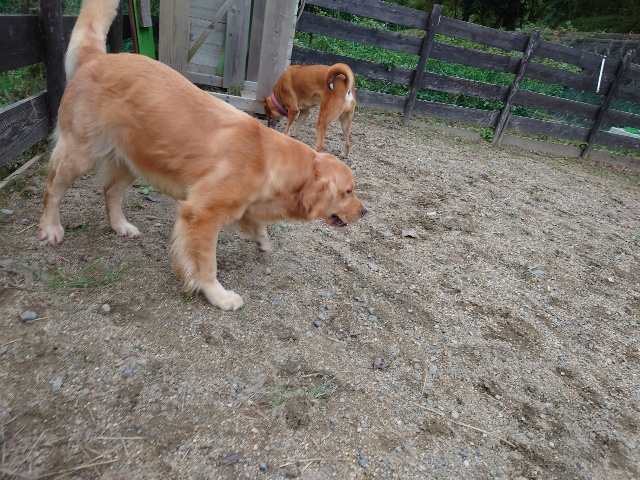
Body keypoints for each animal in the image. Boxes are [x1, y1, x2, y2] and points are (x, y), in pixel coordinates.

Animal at [38, 0, 367, 311]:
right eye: (348, 191)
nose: (364, 212)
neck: (271, 160)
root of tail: (98, 57)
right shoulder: (202, 214)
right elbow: (206, 263)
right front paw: (217, 295)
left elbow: (254, 223)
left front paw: (262, 239)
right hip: (80, 153)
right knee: (53, 186)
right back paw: (51, 228)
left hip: (133, 158)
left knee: (109, 191)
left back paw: (120, 226)